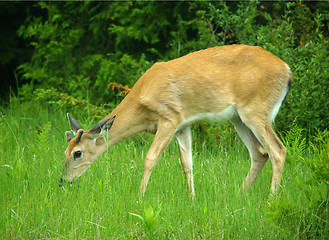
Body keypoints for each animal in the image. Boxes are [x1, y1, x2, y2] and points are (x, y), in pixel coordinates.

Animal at [60, 44, 290, 197]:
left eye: (77, 153)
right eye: (65, 152)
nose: (63, 181)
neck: (142, 98)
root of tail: (287, 71)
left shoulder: (169, 117)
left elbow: (150, 157)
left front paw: (139, 196)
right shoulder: (183, 125)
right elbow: (187, 163)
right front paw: (192, 198)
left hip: (255, 109)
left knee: (277, 150)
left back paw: (271, 199)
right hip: (238, 118)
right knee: (259, 153)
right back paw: (238, 195)